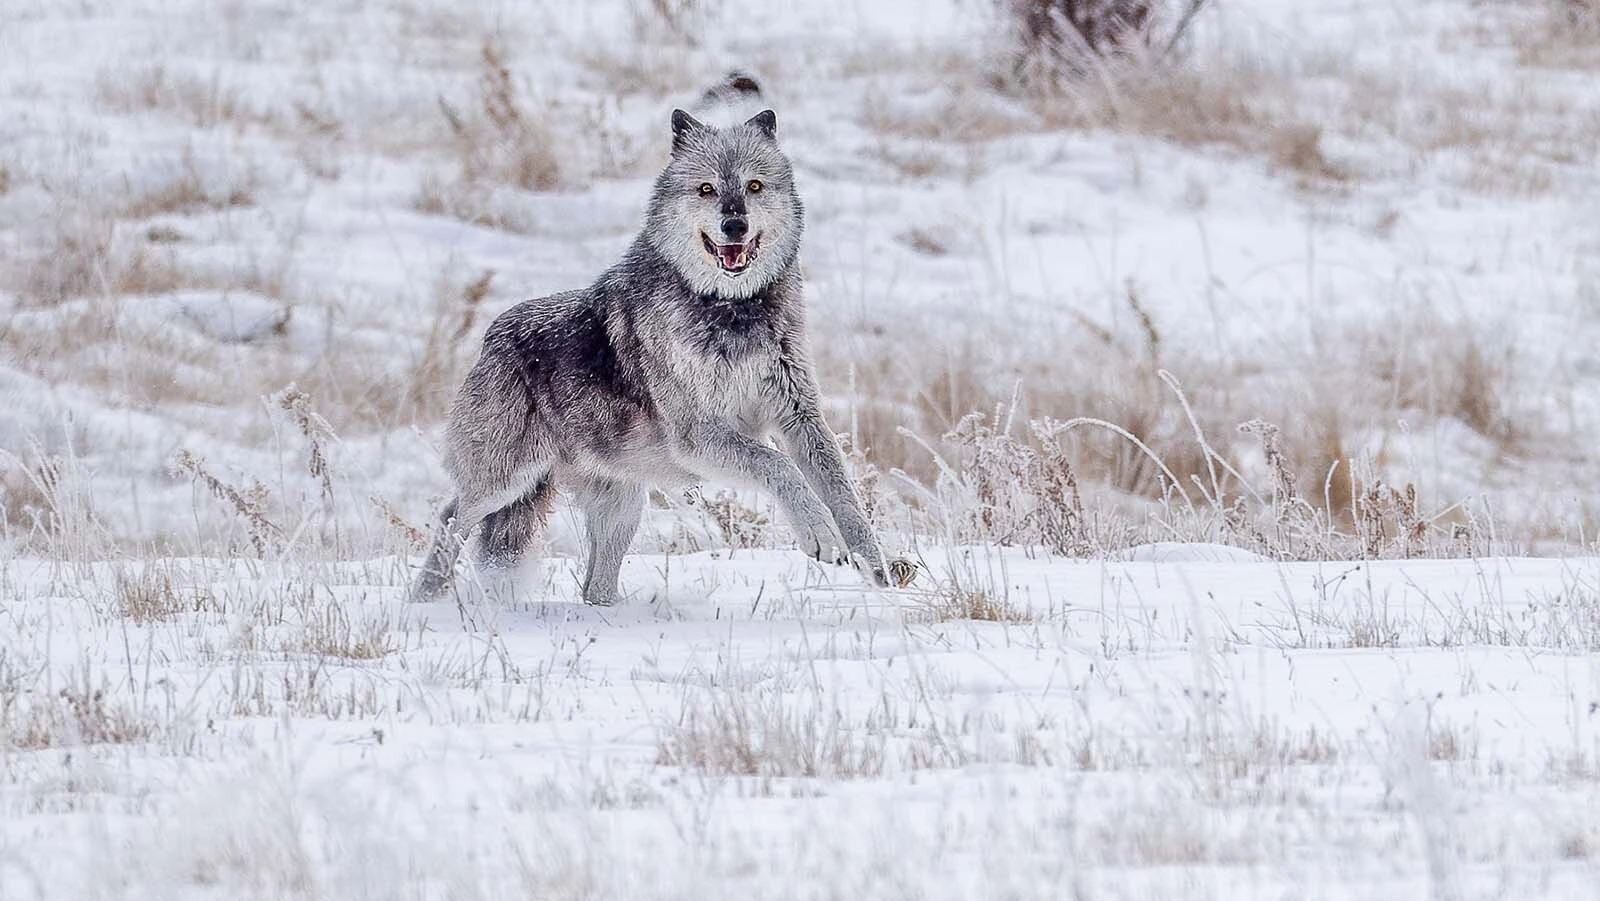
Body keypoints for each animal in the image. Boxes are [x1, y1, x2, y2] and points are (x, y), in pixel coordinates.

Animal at [410, 108, 890, 605]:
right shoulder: (699, 436)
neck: (731, 310)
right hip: (504, 483)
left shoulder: (800, 417)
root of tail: (490, 336)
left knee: (593, 587)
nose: (734, 226)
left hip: (620, 508)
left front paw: (878, 567)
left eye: (754, 186)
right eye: (706, 189)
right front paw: (820, 535)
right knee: (450, 516)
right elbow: (778, 466)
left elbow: (843, 493)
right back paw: (425, 599)